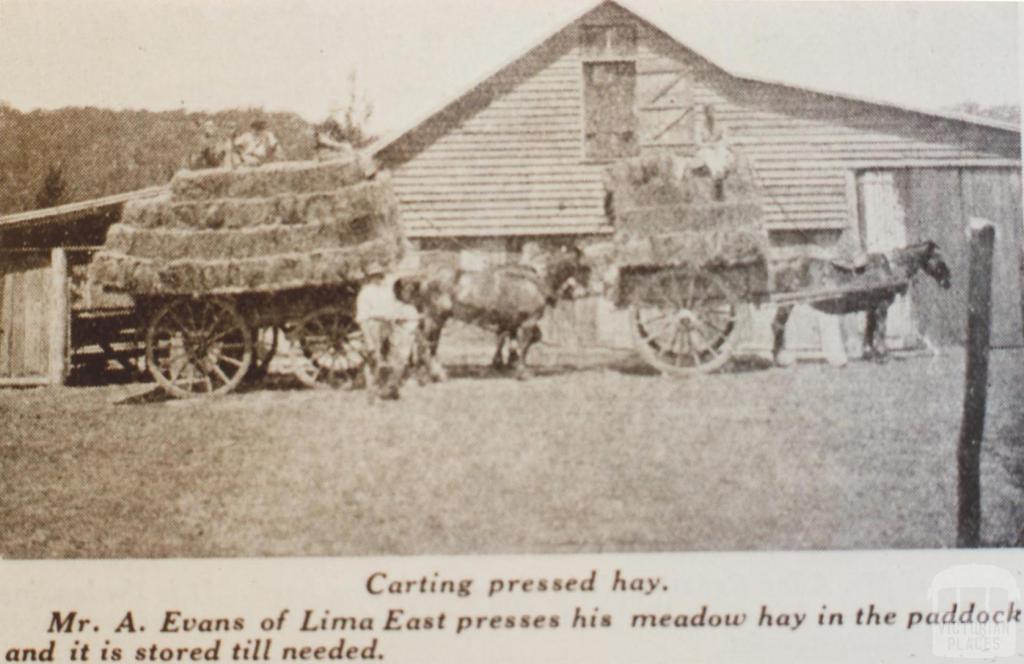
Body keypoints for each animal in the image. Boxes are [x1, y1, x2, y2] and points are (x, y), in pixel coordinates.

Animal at [411, 243, 593, 379]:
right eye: (585, 267)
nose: (584, 292)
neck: (534, 281)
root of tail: (425, 276)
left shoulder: (512, 322)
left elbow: (518, 340)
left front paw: (507, 362)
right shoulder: (528, 321)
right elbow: (524, 344)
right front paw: (521, 371)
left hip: (435, 318)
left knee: (427, 341)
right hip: (434, 317)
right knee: (425, 341)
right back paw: (431, 373)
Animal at [774, 239, 950, 364]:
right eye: (939, 258)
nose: (948, 282)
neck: (889, 269)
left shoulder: (871, 307)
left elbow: (869, 330)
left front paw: (869, 353)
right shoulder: (881, 306)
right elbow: (880, 330)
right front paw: (883, 354)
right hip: (787, 303)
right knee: (777, 325)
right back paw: (778, 358)